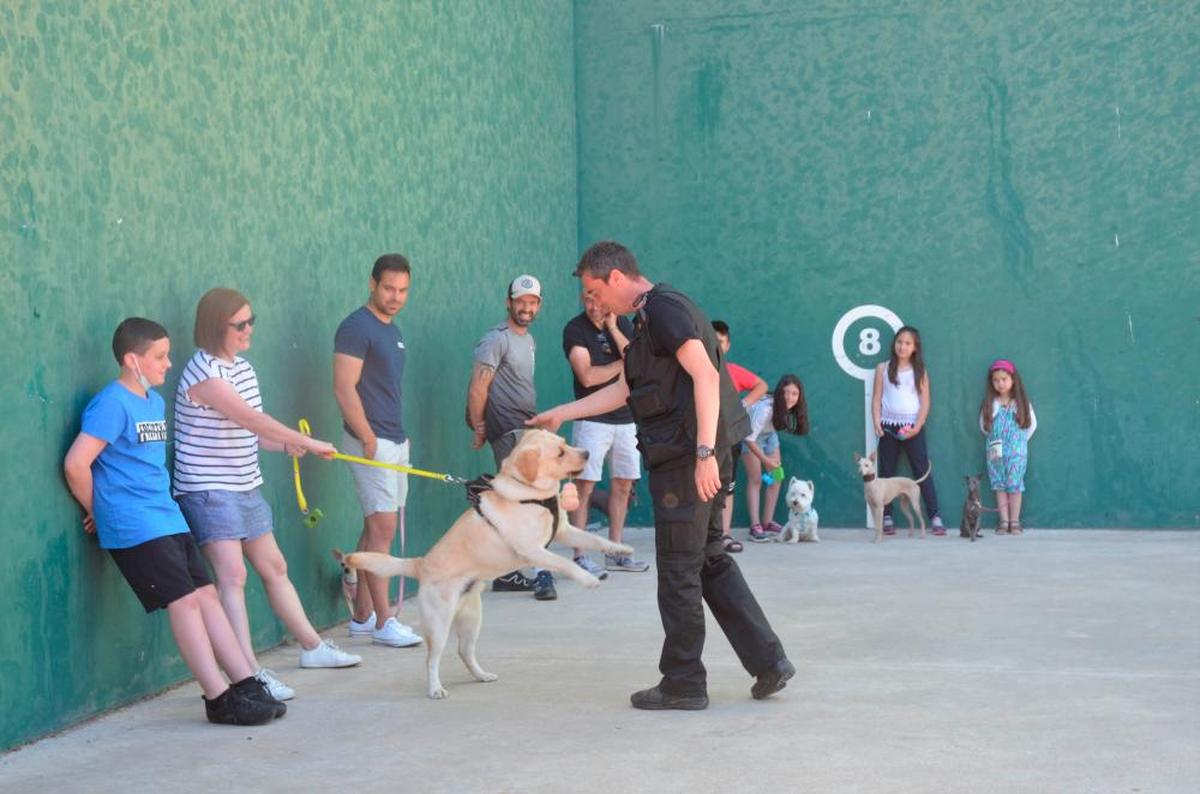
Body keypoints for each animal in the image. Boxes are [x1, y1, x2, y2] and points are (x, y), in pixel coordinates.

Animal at [338, 431, 633, 700]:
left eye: (564, 442)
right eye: (560, 452)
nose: (586, 453)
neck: (530, 494)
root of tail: (422, 564)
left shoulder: (564, 532)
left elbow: (595, 539)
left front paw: (619, 549)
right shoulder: (533, 550)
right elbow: (564, 562)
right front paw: (587, 579)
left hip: (472, 620)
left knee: (464, 651)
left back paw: (481, 675)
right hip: (439, 623)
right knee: (431, 659)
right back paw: (435, 689)